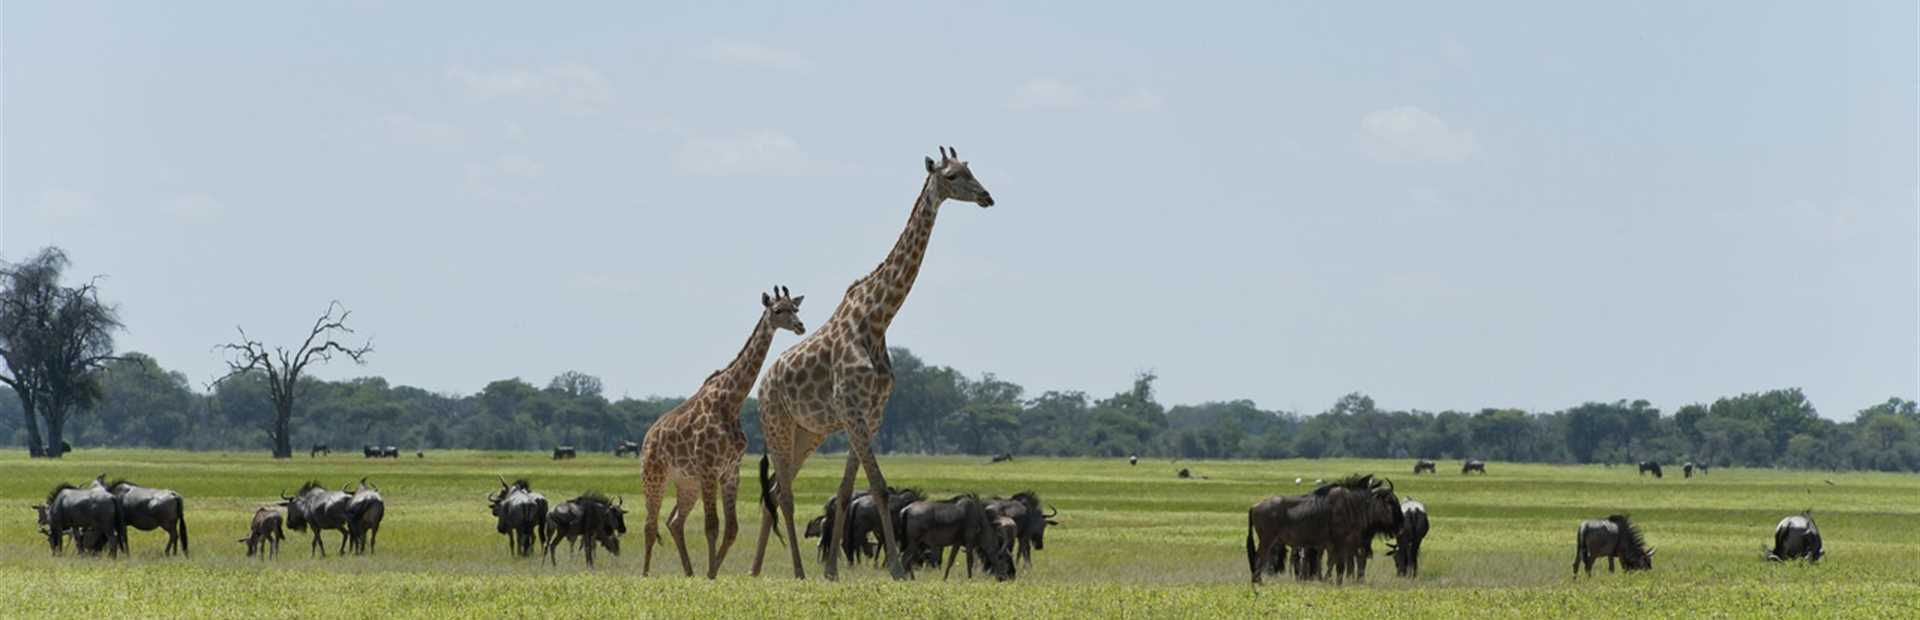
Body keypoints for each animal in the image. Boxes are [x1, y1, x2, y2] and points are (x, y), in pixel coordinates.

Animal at [637, 289, 802, 579]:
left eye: (796, 308)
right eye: (778, 310)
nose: (800, 326)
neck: (731, 402)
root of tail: (648, 437)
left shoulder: (730, 471)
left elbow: (731, 529)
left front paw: (711, 573)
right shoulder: (708, 469)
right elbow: (712, 526)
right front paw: (711, 574)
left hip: (686, 483)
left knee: (674, 521)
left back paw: (690, 573)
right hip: (654, 475)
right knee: (650, 524)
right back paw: (645, 574)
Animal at [744, 146, 998, 583]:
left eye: (970, 169)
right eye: (951, 176)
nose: (986, 196)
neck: (878, 320)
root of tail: (765, 379)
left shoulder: (871, 413)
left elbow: (849, 490)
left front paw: (832, 571)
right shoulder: (852, 410)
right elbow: (877, 486)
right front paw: (898, 570)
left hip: (808, 432)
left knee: (776, 490)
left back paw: (759, 570)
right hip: (776, 424)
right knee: (784, 493)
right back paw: (794, 570)